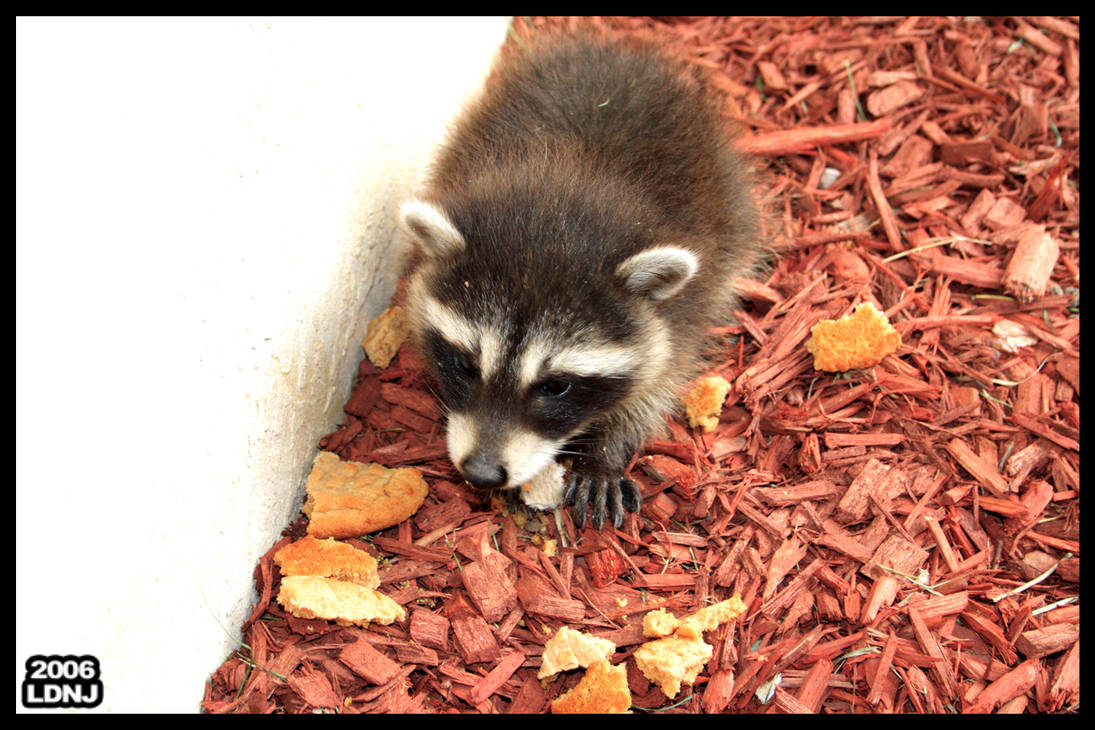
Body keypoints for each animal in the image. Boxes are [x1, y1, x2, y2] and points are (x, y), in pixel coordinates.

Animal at [398, 31, 759, 529]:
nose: (482, 473)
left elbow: (658, 382)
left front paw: (607, 451)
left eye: (555, 386)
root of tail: (620, 53)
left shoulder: (682, 313)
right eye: (467, 365)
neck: (565, 193)